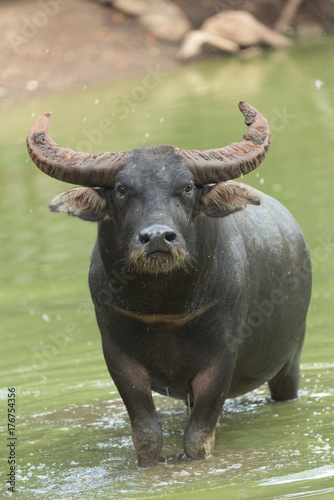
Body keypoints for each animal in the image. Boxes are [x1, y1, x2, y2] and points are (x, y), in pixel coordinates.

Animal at [27, 102, 312, 468]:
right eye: (122, 189)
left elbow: (198, 437)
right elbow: (147, 436)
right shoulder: (118, 358)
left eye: (187, 187)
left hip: (290, 361)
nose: (158, 237)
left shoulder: (221, 359)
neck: (165, 310)